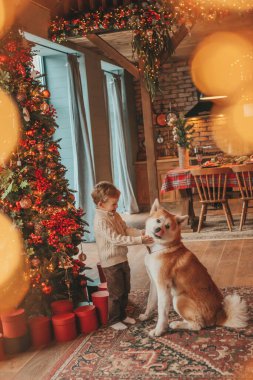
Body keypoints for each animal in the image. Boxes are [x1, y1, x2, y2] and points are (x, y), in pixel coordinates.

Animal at [138, 199, 247, 336]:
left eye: (167, 226)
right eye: (158, 221)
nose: (158, 229)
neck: (162, 247)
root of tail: (219, 317)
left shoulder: (163, 287)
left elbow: (161, 312)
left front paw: (158, 330)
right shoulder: (154, 282)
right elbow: (150, 302)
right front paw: (146, 316)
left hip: (179, 299)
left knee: (197, 325)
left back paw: (177, 324)